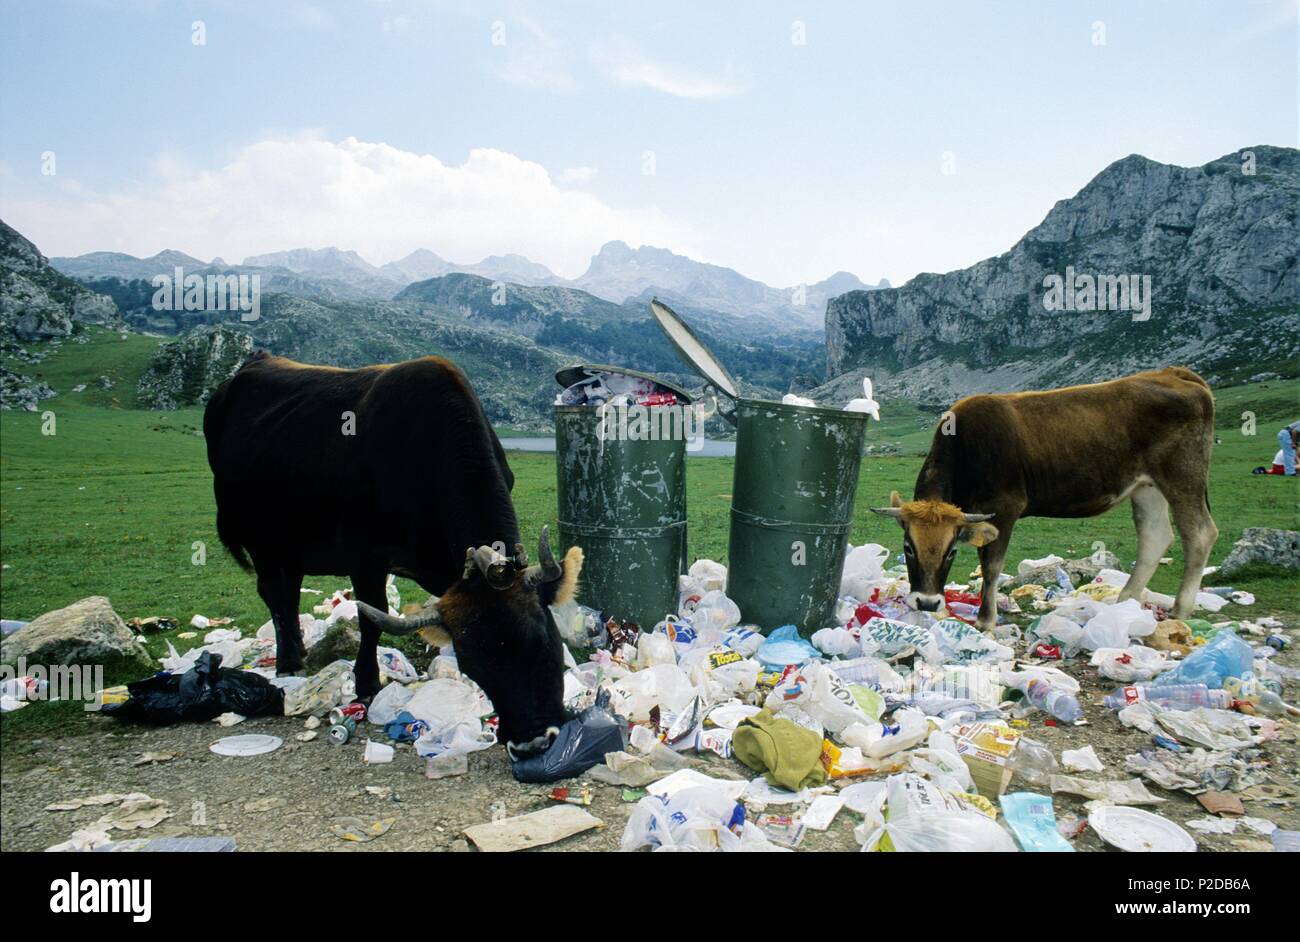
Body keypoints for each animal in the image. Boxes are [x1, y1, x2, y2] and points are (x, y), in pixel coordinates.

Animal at [873, 363, 1216, 628]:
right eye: (908, 547)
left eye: (952, 552)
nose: (927, 603)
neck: (965, 447)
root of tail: (1172, 373)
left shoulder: (1004, 507)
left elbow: (991, 565)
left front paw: (985, 619)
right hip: (1147, 486)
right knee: (1155, 536)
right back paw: (1125, 601)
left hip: (1182, 475)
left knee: (1199, 534)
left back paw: (1180, 609)